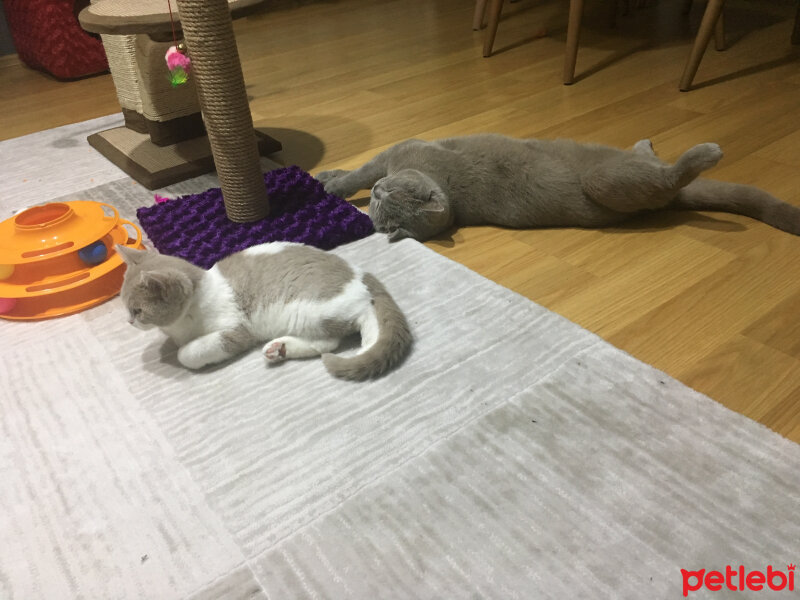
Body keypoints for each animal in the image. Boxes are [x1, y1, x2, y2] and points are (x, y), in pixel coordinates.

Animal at [115, 243, 412, 380]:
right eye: (124, 306)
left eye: (137, 310)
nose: (128, 321)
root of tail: (363, 275)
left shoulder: (236, 330)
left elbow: (188, 353)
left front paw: (185, 351)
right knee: (324, 343)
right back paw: (279, 349)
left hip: (307, 309)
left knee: (341, 334)